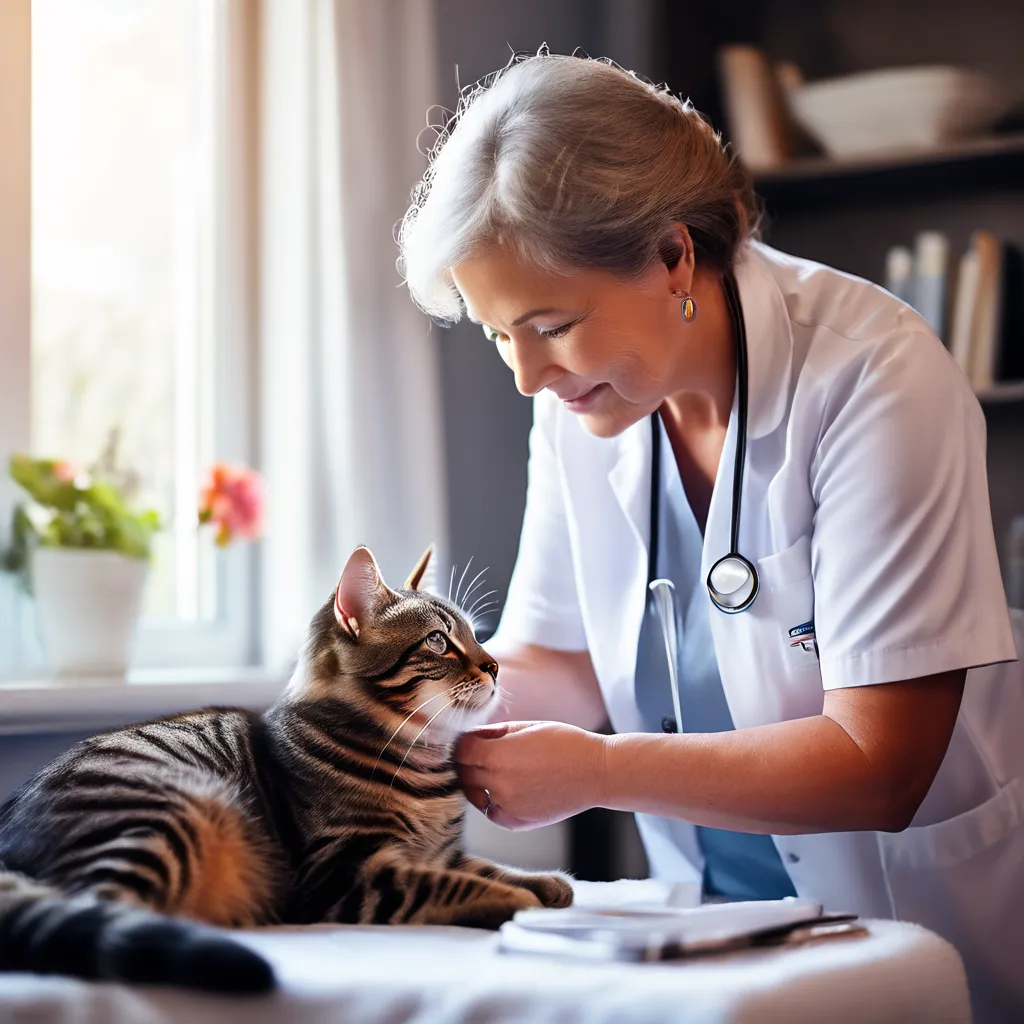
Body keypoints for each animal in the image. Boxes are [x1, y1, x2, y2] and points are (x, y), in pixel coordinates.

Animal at [0, 544, 573, 991]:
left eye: (476, 636)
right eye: (438, 641)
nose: (495, 665)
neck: (424, 764)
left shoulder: (438, 854)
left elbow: (482, 868)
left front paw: (548, 883)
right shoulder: (341, 874)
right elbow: (455, 886)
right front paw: (518, 899)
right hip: (162, 814)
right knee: (106, 913)